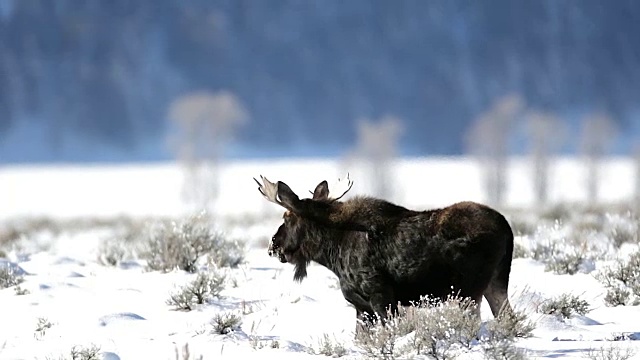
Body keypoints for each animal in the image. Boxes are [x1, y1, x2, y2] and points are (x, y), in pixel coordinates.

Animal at [254, 174, 516, 326]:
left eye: (287, 218)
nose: (273, 246)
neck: (331, 250)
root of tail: (507, 228)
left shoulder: (381, 295)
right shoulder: (362, 307)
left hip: (468, 291)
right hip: (496, 282)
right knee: (508, 319)